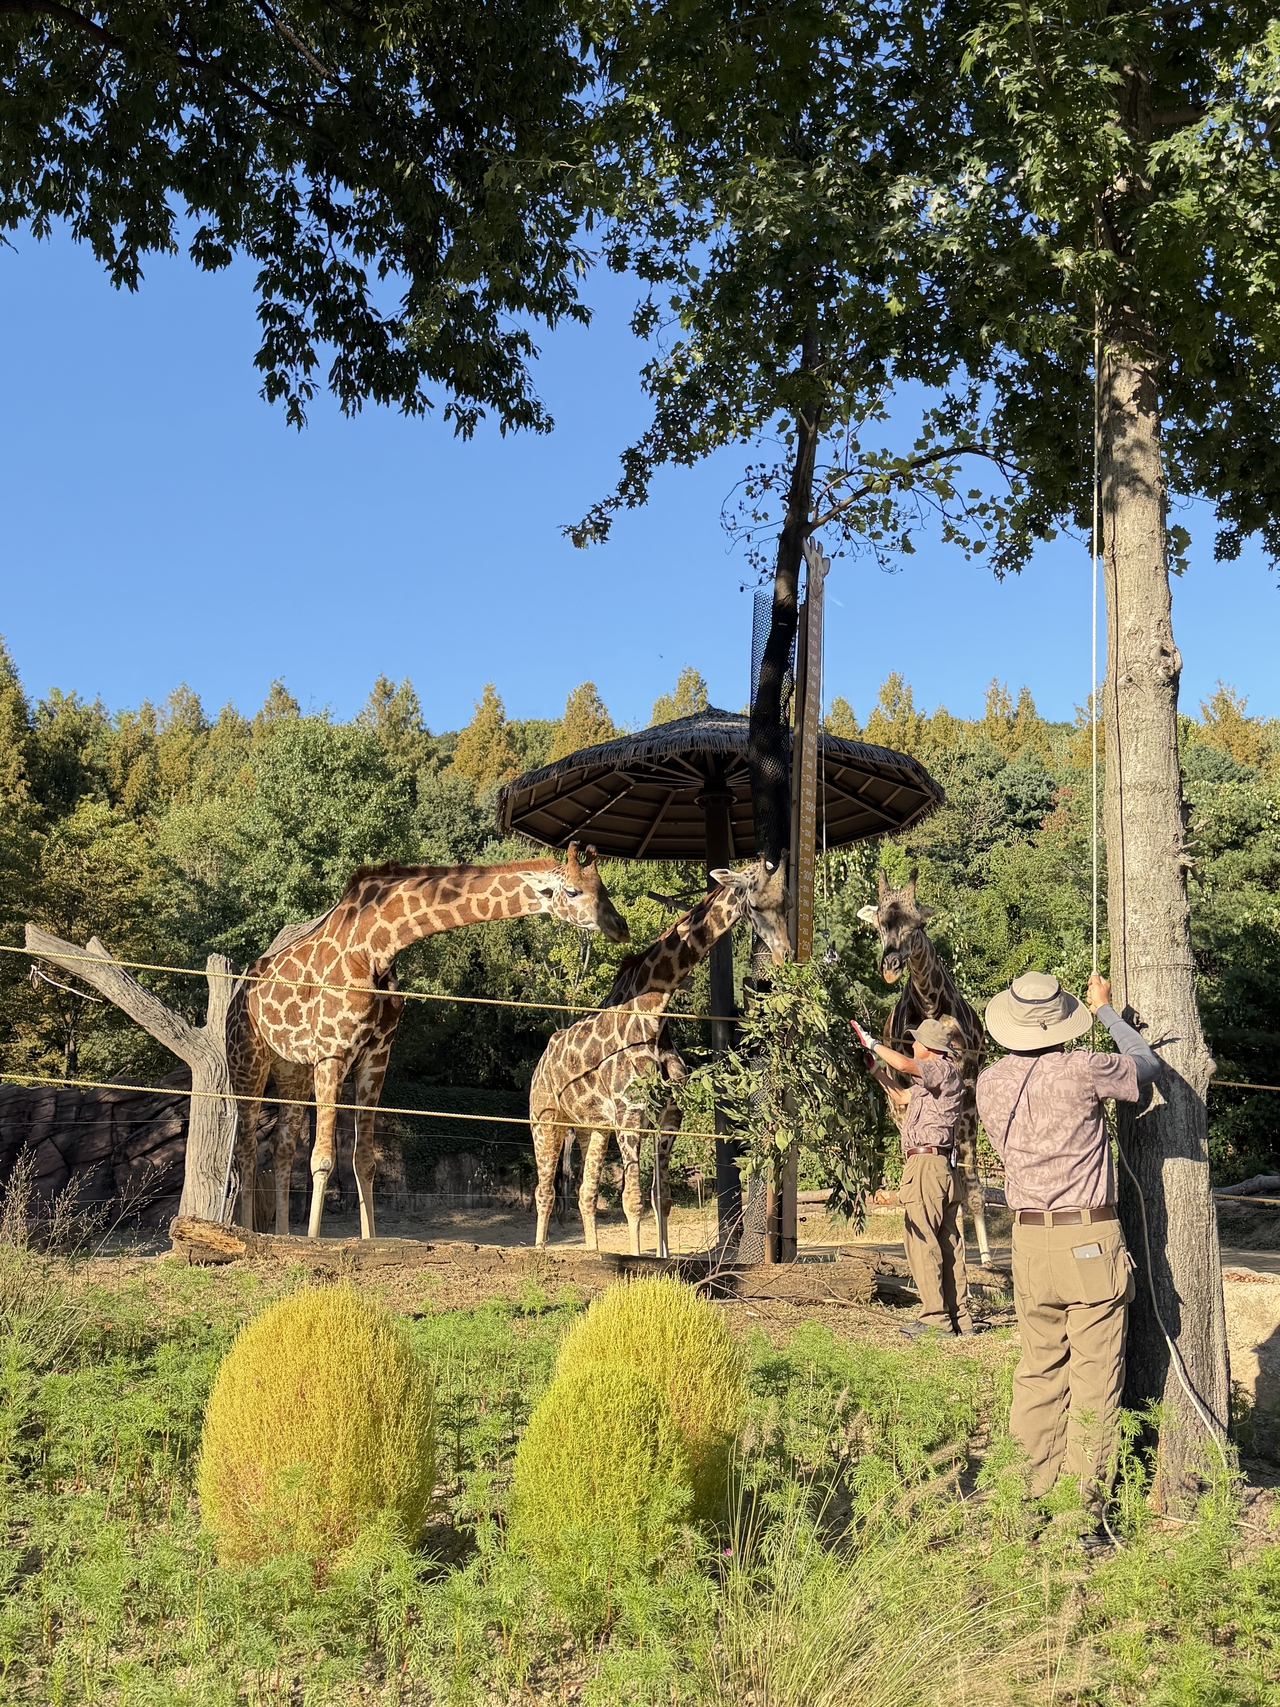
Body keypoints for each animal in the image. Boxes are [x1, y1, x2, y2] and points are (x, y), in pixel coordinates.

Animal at [227, 844, 628, 1240]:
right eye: (573, 891)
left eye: (603, 887)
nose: (620, 926)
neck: (377, 945)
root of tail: (238, 989)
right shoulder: (332, 1051)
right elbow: (322, 1159)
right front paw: (313, 1242)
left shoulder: (376, 1056)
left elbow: (365, 1161)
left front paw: (369, 1241)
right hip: (247, 1059)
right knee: (246, 1147)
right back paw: (246, 1229)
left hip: (291, 1067)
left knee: (282, 1145)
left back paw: (279, 1234)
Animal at [530, 858, 790, 1255]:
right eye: (756, 906)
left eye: (787, 903)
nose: (785, 955)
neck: (655, 1013)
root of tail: (541, 1063)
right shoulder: (631, 1115)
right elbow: (632, 1200)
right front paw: (636, 1259)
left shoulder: (666, 1118)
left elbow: (660, 1199)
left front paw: (662, 1257)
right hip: (545, 1121)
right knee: (543, 1191)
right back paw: (541, 1251)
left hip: (593, 1128)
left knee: (585, 1192)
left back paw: (592, 1251)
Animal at [856, 869, 992, 1264]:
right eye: (879, 924)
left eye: (918, 924)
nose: (890, 968)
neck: (931, 1004)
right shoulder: (902, 1096)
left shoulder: (968, 1091)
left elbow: (969, 1179)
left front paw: (982, 1257)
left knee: (962, 1174)